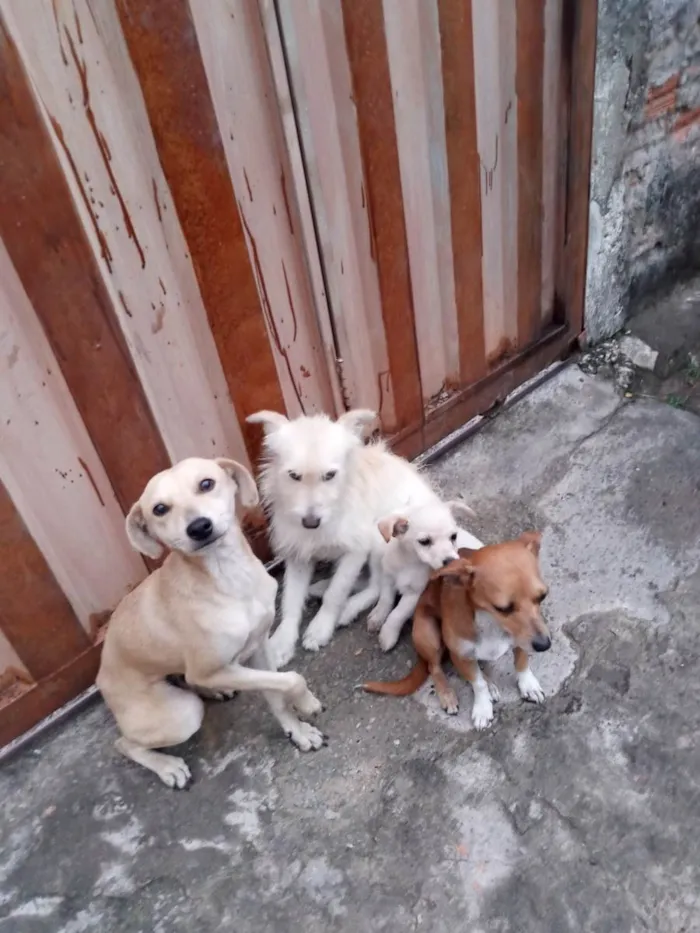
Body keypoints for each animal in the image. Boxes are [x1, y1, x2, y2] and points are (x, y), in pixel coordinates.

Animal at [97, 456, 324, 788]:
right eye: (160, 509)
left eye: (206, 484)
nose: (199, 527)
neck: (229, 577)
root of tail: (100, 677)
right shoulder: (211, 669)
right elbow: (293, 678)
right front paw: (307, 702)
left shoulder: (258, 647)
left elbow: (276, 694)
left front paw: (297, 731)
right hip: (183, 714)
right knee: (124, 743)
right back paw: (166, 766)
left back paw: (215, 692)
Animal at [364, 532, 548, 728]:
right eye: (502, 608)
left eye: (542, 596)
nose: (545, 645)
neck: (490, 623)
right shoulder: (460, 656)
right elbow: (477, 684)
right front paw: (483, 708)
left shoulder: (520, 642)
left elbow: (521, 663)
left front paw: (528, 685)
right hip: (428, 635)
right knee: (434, 667)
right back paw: (447, 695)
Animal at [370, 502, 484, 648]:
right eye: (424, 541)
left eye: (453, 536)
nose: (451, 562)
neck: (409, 564)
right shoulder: (388, 579)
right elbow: (385, 600)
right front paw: (378, 617)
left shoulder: (414, 594)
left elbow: (397, 614)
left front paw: (388, 634)